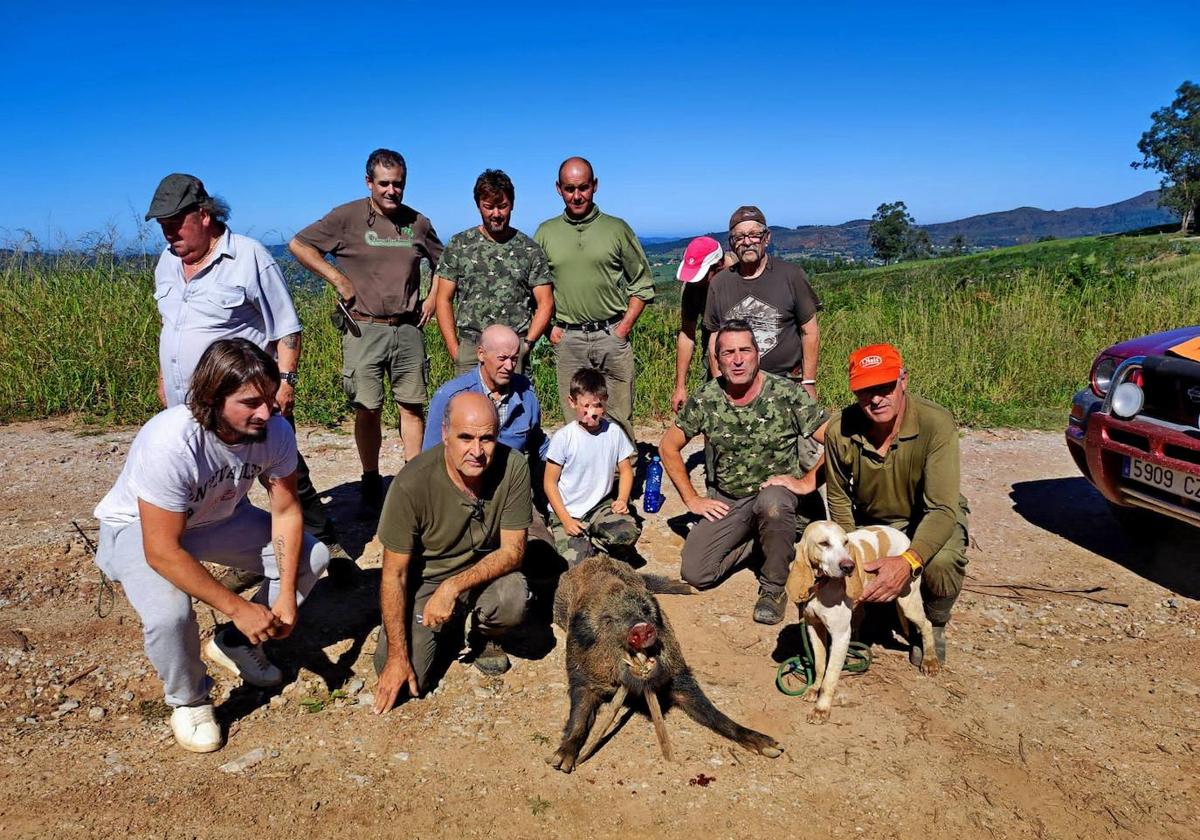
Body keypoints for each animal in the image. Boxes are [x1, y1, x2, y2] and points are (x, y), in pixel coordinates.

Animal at [782, 518, 940, 720]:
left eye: (845, 543)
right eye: (824, 543)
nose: (849, 567)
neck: (821, 586)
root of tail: (903, 536)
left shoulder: (840, 635)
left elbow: (830, 676)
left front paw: (822, 707)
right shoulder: (813, 627)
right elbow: (819, 665)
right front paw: (815, 688)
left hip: (908, 602)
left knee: (927, 624)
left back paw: (930, 660)